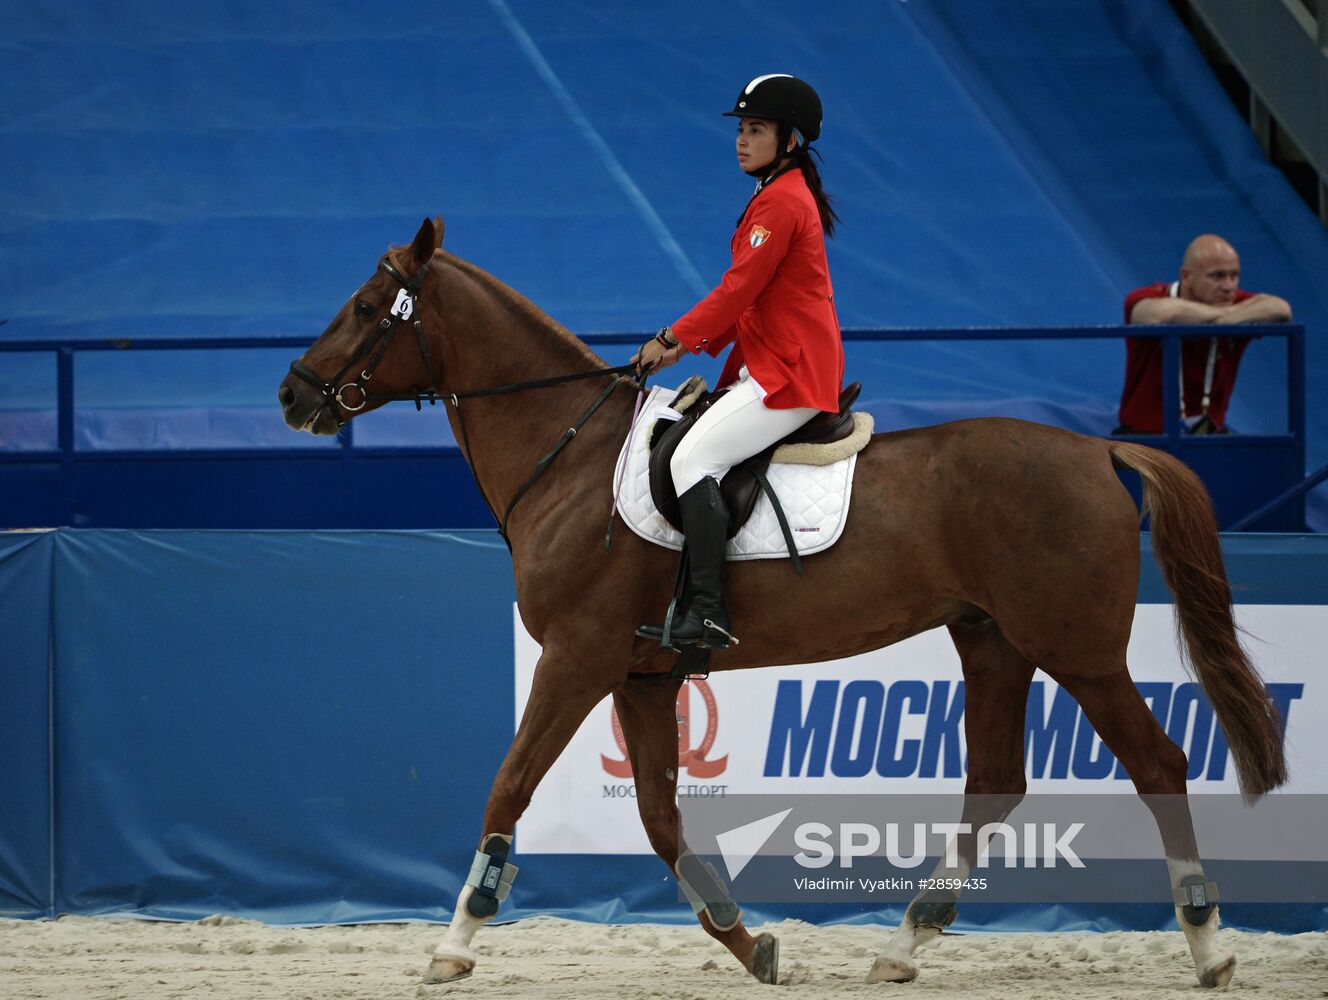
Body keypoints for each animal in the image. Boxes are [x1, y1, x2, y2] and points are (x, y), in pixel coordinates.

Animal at [277, 215, 1285, 988]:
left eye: (364, 308)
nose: (291, 393)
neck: (570, 457)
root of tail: (1096, 450)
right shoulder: (642, 677)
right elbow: (660, 821)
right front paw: (748, 941)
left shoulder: (577, 658)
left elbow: (511, 785)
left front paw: (454, 943)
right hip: (992, 640)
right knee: (996, 782)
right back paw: (905, 944)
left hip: (1076, 650)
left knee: (1158, 765)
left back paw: (1207, 947)